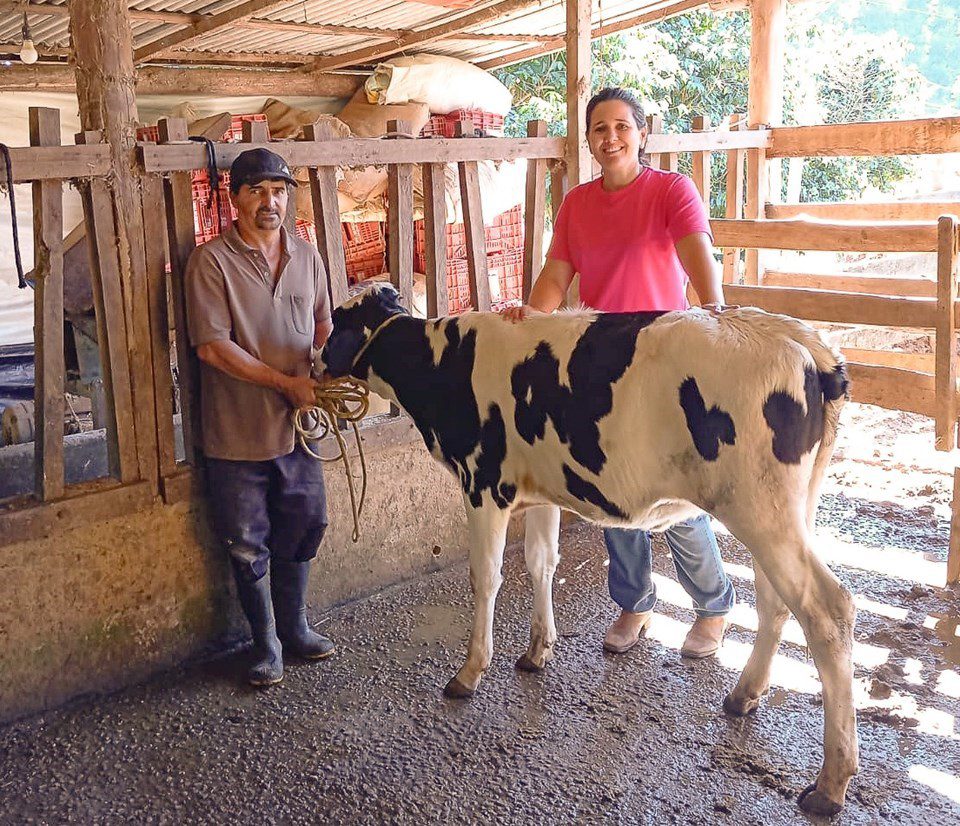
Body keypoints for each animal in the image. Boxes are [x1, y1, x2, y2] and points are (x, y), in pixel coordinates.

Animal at [320, 284, 856, 812]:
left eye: (334, 320)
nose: (316, 362)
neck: (441, 363)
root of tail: (800, 339)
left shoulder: (484, 484)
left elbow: (486, 577)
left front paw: (469, 672)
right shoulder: (539, 490)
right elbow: (540, 563)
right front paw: (537, 650)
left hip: (760, 509)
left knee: (828, 610)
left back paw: (829, 785)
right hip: (785, 510)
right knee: (777, 602)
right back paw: (743, 696)